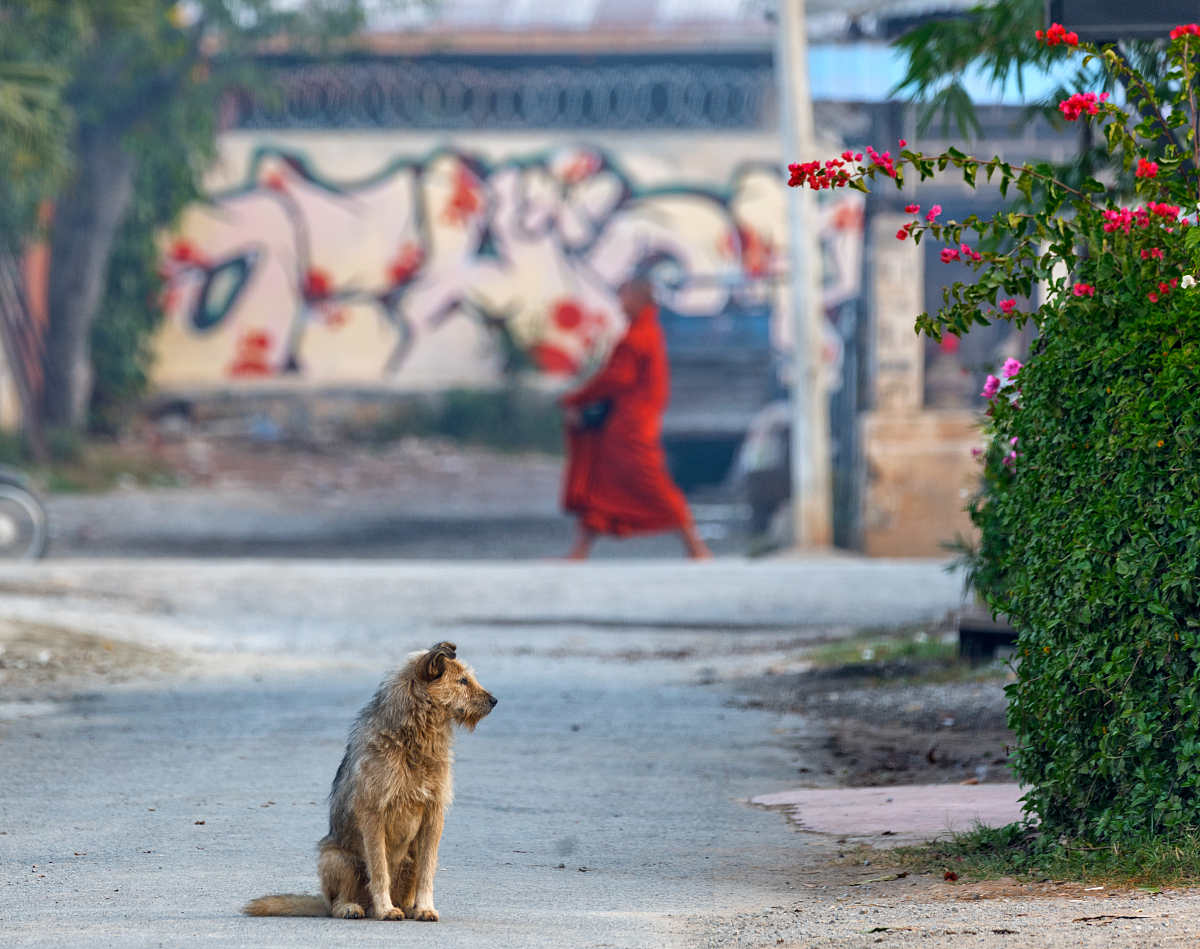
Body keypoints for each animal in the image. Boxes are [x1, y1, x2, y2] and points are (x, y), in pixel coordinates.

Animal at [241, 638, 494, 921]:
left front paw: (425, 908)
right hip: (339, 859)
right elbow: (379, 869)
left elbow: (426, 872)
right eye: (462, 681)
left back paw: (409, 907)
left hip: (409, 856)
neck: (414, 740)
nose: (495, 700)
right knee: (339, 902)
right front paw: (386, 909)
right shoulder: (372, 813)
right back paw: (355, 908)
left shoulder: (434, 814)